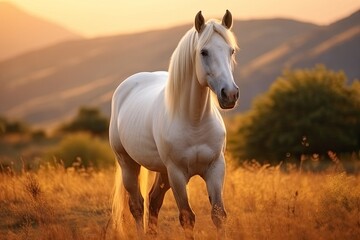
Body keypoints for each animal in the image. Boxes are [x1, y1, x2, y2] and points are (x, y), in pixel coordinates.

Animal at [109, 10, 239, 239]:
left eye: (231, 51)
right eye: (204, 52)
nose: (230, 94)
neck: (195, 121)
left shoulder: (216, 168)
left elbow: (218, 215)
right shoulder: (177, 173)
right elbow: (187, 217)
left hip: (163, 172)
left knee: (153, 201)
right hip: (128, 164)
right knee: (137, 206)